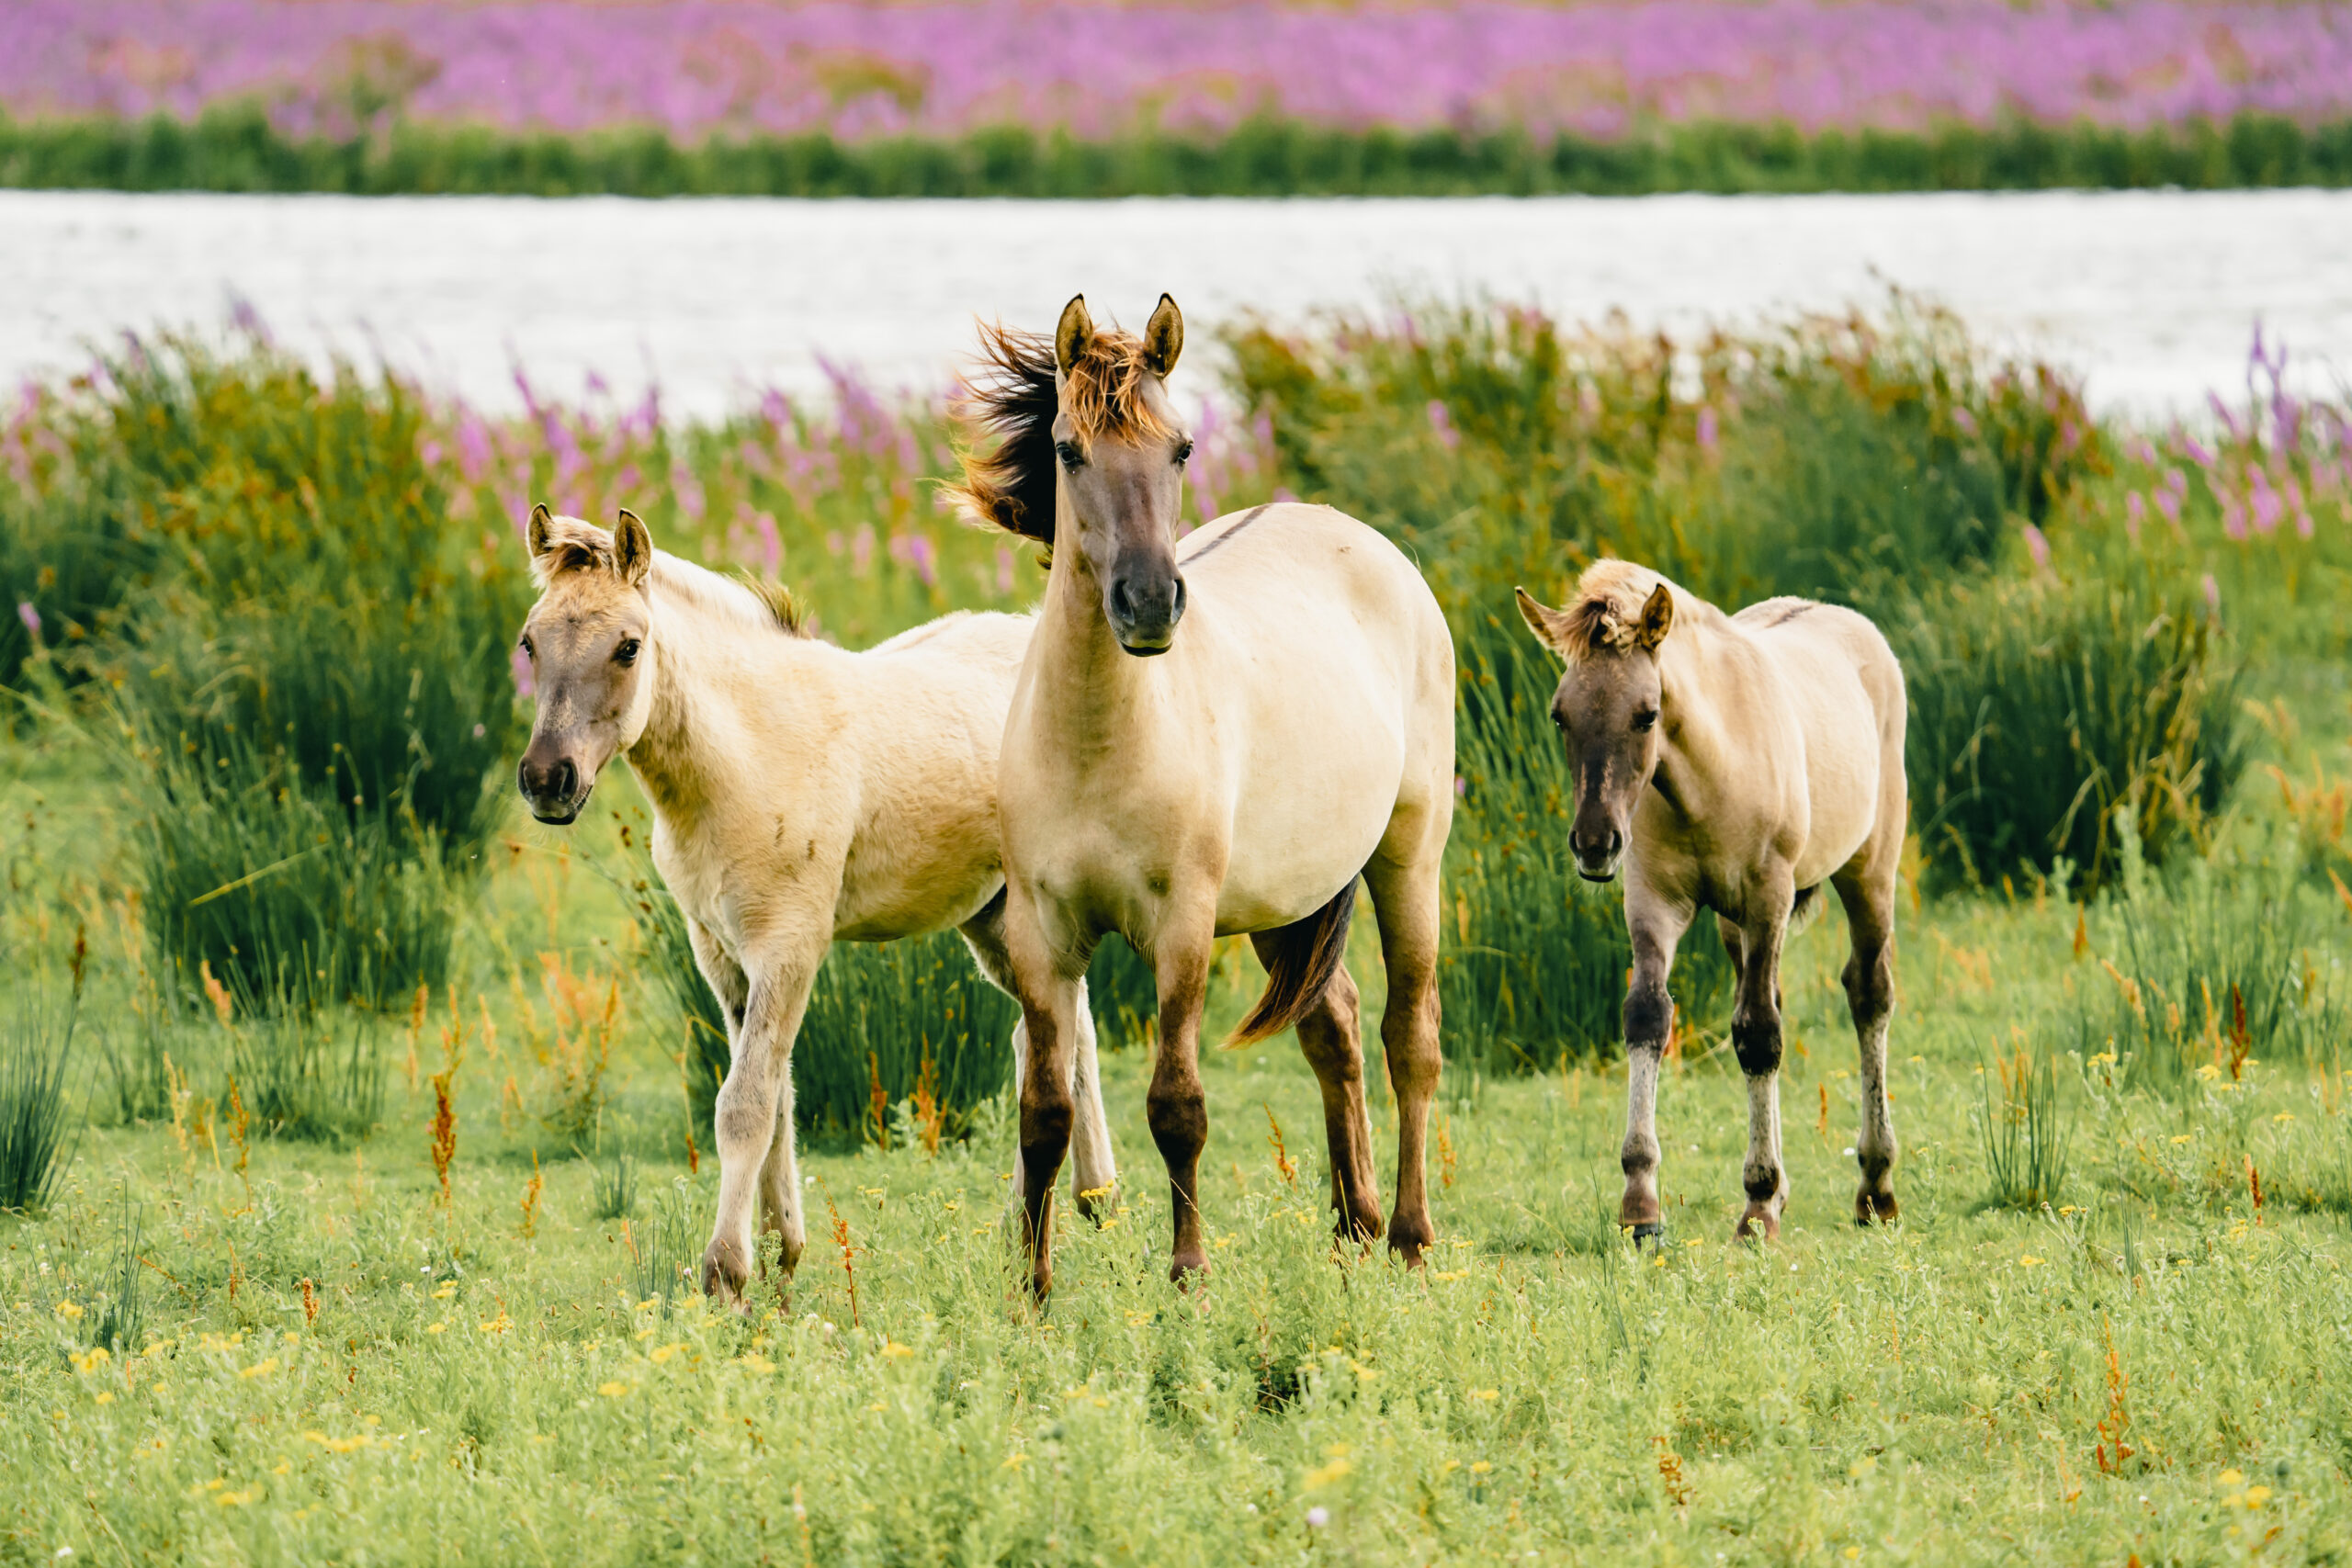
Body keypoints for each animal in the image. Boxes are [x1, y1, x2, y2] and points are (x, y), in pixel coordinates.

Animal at [512, 506, 1118, 1305]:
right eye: (530, 640)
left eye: (627, 646)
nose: (548, 779)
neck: (749, 755)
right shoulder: (721, 953)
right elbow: (775, 1095)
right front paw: (782, 1252)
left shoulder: (790, 943)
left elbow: (744, 1103)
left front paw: (727, 1273)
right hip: (989, 918)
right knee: (1053, 1031)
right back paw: (1059, 1211)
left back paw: (1072, 1210)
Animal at [952, 296, 1456, 1297]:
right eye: (1068, 449)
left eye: (1181, 448)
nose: (1149, 603)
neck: (1098, 744)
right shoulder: (1040, 936)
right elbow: (1044, 1114)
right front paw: (1033, 1289)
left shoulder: (1181, 929)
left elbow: (1176, 1104)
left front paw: (1188, 1272)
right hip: (1285, 893)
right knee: (1334, 1027)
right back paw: (1352, 1222)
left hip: (1407, 859)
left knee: (1407, 1038)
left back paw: (1408, 1236)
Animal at [1515, 562, 1907, 1241]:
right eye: (1560, 715)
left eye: (1647, 714)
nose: (1594, 843)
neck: (1705, 779)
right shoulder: (1653, 901)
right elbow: (1648, 1015)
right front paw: (1641, 1205)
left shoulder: (1768, 895)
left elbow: (1758, 1035)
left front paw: (1757, 1203)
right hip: (1731, 923)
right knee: (1770, 993)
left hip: (1868, 873)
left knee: (1868, 994)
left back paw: (1875, 1187)